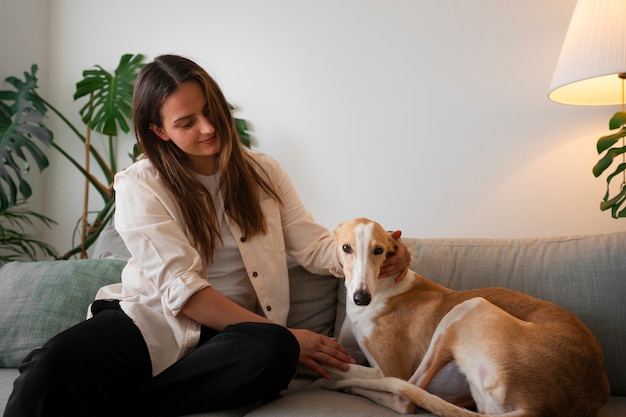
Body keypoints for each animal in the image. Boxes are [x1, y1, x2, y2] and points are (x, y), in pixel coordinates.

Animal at [324, 218, 608, 416]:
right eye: (346, 248)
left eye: (379, 250)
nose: (361, 298)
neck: (384, 287)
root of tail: (537, 406)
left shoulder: (388, 369)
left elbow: (347, 367)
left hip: (467, 308)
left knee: (405, 398)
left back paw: (347, 386)